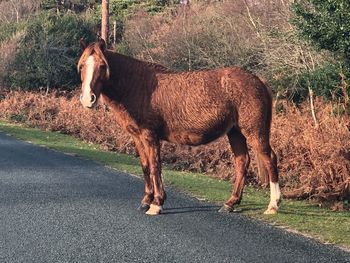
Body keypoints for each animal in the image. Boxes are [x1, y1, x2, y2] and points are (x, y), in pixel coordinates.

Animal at [77, 39, 282, 217]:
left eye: (102, 66)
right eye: (82, 66)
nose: (88, 99)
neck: (138, 85)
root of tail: (258, 80)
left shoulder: (150, 136)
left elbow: (155, 166)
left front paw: (157, 203)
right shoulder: (137, 136)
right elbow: (145, 166)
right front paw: (146, 200)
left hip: (254, 132)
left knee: (269, 158)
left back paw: (273, 204)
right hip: (235, 132)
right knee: (242, 162)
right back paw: (230, 203)